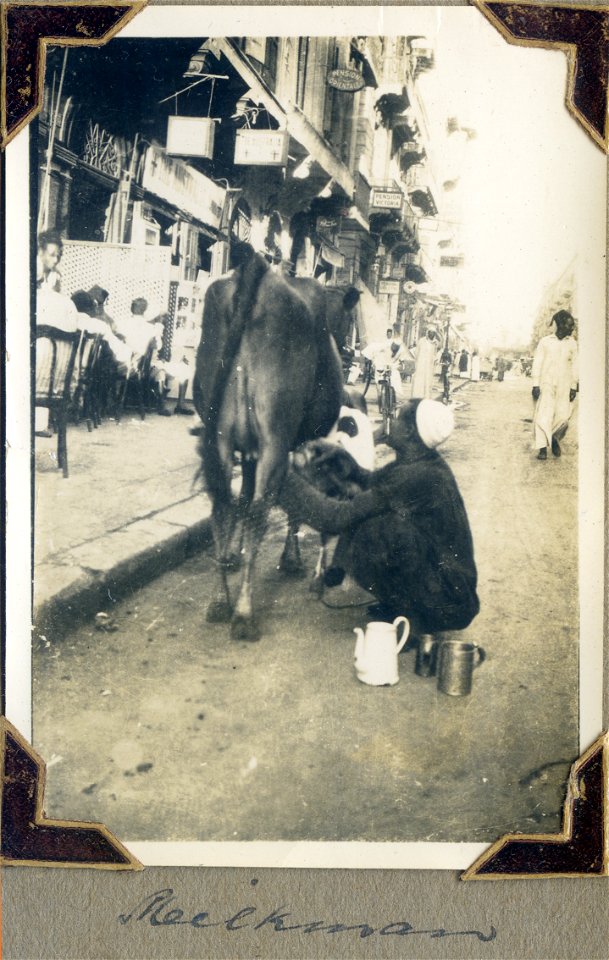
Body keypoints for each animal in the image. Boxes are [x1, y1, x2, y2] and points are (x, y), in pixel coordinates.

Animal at [195, 244, 346, 640]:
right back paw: (244, 613)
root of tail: (255, 272)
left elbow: (242, 497)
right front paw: (290, 558)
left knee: (223, 503)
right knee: (260, 509)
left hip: (221, 436)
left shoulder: (248, 449)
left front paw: (233, 555)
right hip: (276, 437)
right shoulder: (296, 445)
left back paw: (219, 600)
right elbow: (290, 504)